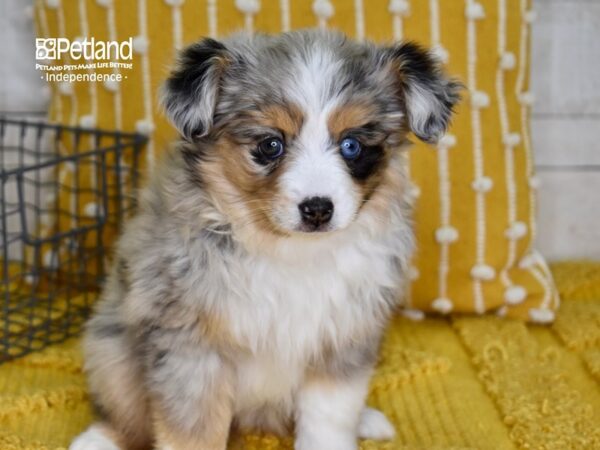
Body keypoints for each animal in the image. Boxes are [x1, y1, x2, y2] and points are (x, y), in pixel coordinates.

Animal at [72, 29, 462, 448]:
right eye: (270, 145)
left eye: (352, 145)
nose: (318, 209)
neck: (287, 251)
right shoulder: (190, 346)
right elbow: (192, 431)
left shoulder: (343, 337)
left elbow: (329, 417)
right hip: (111, 352)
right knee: (125, 413)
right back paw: (99, 439)